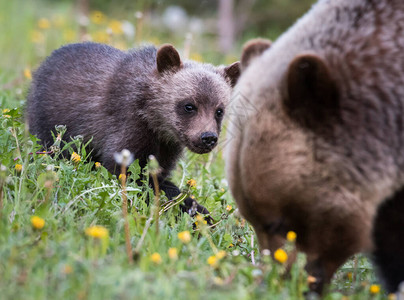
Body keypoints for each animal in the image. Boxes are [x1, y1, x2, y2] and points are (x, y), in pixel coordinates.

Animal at [27, 42, 240, 216]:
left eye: (219, 110)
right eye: (189, 105)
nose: (208, 137)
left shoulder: (166, 148)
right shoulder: (127, 130)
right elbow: (130, 178)